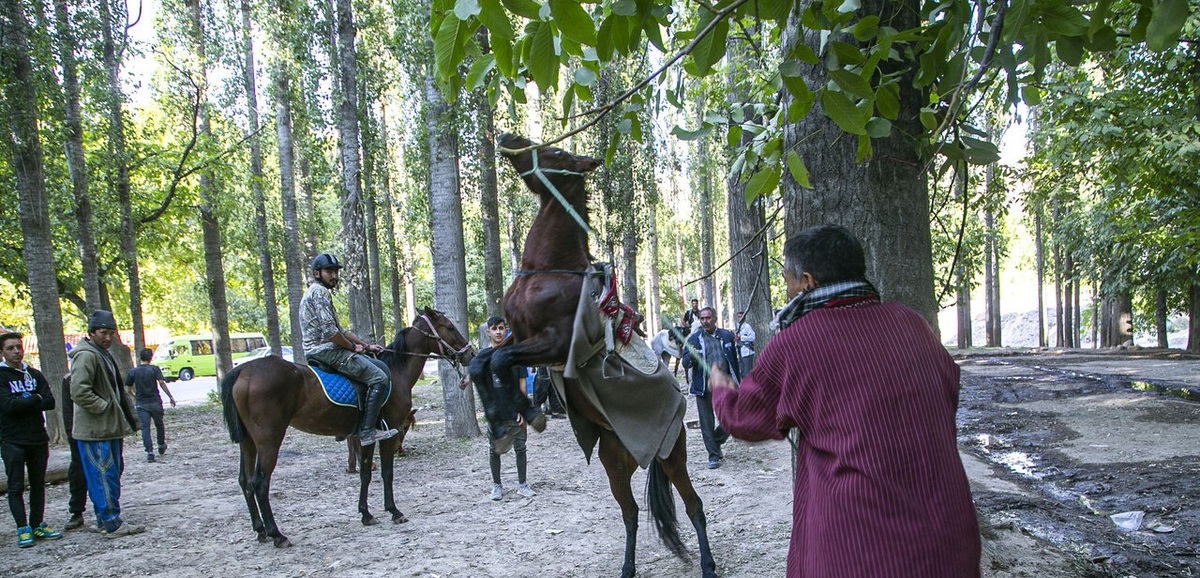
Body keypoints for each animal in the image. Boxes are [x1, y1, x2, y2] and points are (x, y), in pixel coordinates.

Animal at [222, 306, 472, 546]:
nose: (470, 352)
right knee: (260, 483)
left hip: (248, 441)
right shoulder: (389, 432)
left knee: (244, 481)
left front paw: (366, 514)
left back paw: (260, 530)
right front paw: (394, 510)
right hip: (269, 440)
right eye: (449, 327)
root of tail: (242, 370)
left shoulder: (367, 436)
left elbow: (365, 473)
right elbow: (387, 472)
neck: (396, 371)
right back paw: (277, 534)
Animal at [465, 134, 710, 578]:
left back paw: (709, 565)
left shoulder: (553, 344)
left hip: (673, 457)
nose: (509, 138)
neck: (549, 269)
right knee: (630, 514)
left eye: (558, 153)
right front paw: (500, 419)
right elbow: (482, 362)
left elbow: (499, 363)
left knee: (694, 506)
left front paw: (525, 413)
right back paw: (627, 569)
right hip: (615, 463)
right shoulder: (517, 337)